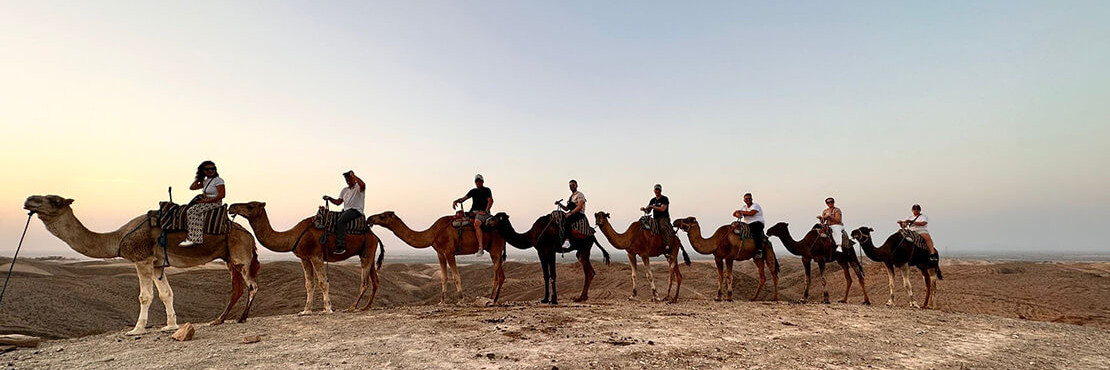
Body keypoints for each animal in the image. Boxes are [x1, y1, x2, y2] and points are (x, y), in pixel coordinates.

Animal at [26, 195, 261, 333]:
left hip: (240, 254)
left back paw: (241, 318)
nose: (29, 200)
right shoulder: (157, 264)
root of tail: (248, 234)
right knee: (237, 288)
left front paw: (136, 330)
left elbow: (145, 296)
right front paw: (171, 326)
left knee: (251, 285)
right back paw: (219, 320)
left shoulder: (142, 259)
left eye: (54, 200)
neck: (118, 238)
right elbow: (166, 294)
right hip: (229, 258)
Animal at [227, 200, 384, 313]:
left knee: (364, 282)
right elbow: (309, 284)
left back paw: (352, 307)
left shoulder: (316, 256)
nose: (231, 207)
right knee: (375, 281)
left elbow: (323, 282)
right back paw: (365, 307)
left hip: (368, 250)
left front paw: (327, 309)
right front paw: (306, 311)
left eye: (250, 206)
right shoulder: (305, 258)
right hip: (367, 252)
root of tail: (375, 235)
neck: (294, 235)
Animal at [368, 210, 508, 302]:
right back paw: (494, 299)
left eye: (382, 216)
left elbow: (456, 277)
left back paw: (491, 299)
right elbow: (443, 277)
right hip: (494, 251)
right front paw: (442, 301)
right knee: (501, 275)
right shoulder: (440, 253)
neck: (434, 232)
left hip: (495, 249)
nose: (369, 218)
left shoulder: (450, 252)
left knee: (497, 275)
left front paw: (461, 299)